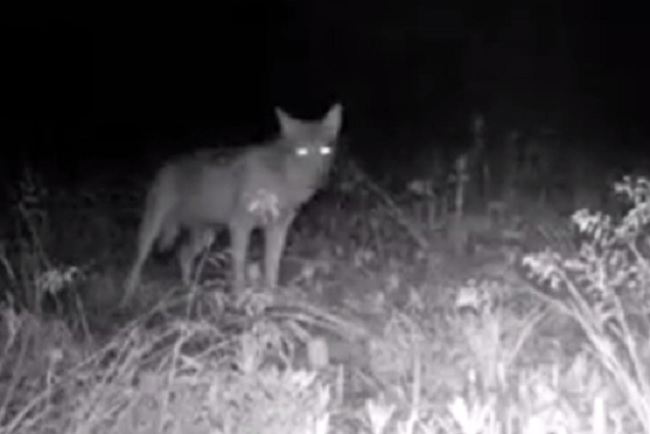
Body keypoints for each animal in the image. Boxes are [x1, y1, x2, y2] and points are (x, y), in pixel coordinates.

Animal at [122, 104, 343, 305]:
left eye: (325, 150)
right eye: (302, 151)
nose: (320, 180)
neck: (282, 178)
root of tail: (166, 165)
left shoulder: (278, 229)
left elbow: (272, 268)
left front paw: (271, 299)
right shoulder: (240, 226)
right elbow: (239, 270)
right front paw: (240, 300)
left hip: (206, 236)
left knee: (183, 255)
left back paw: (189, 291)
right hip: (153, 229)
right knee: (137, 262)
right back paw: (127, 299)